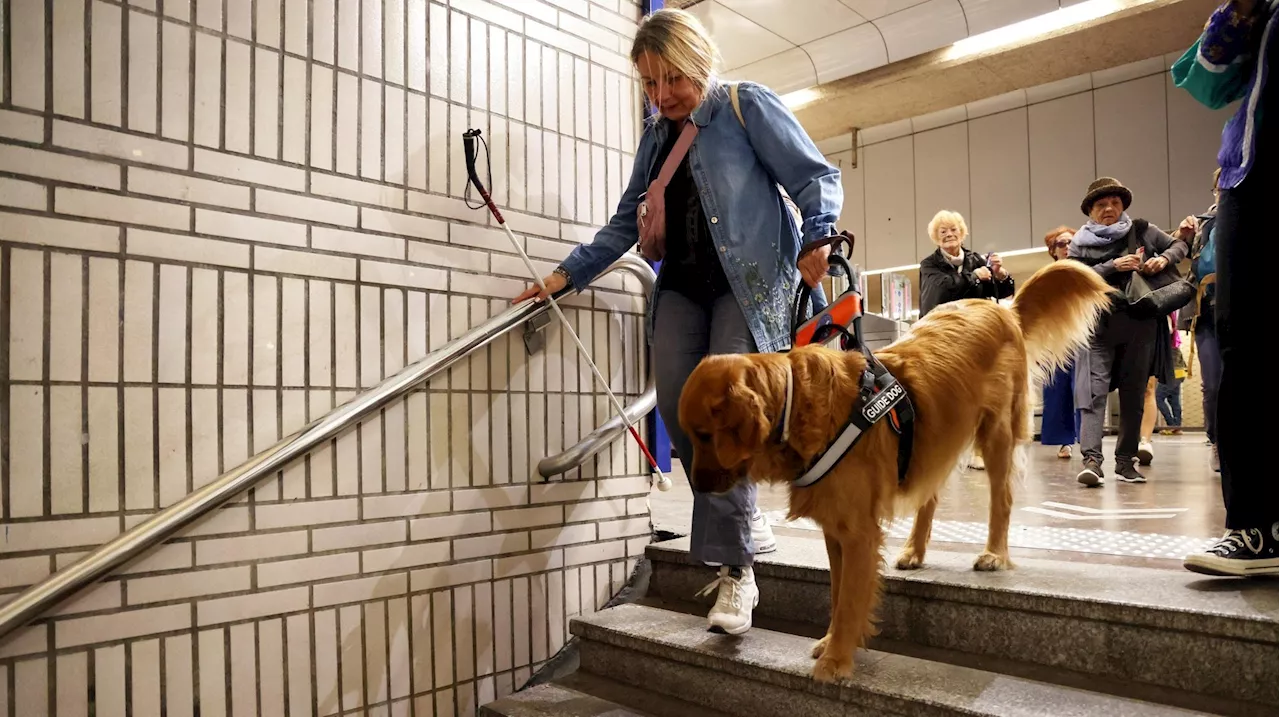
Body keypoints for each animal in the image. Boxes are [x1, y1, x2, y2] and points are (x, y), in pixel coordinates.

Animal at [680, 259, 1111, 681]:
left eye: (704, 434)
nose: (697, 486)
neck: (797, 403)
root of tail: (1003, 308)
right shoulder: (836, 530)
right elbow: (837, 593)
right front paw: (832, 642)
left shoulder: (858, 532)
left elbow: (850, 599)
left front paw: (836, 660)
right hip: (934, 440)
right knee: (930, 494)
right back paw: (915, 550)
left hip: (997, 432)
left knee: (1001, 499)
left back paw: (993, 554)